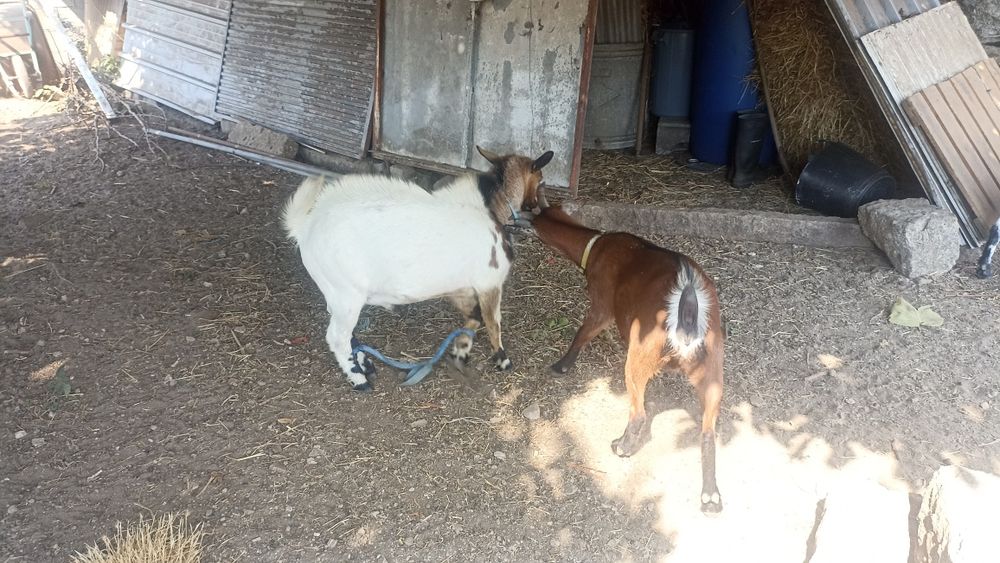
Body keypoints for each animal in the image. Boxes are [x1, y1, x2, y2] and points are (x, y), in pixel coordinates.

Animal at [282, 146, 553, 391]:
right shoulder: (489, 282)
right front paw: (502, 359)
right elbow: (492, 321)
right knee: (336, 336)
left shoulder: (460, 288)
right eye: (541, 179)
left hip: (336, 293)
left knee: (345, 332)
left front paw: (461, 350)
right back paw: (358, 379)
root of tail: (305, 226)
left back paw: (363, 362)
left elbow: (473, 317)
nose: (543, 208)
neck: (489, 209)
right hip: (346, 293)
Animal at [528, 189, 725, 514]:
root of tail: (687, 312)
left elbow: (582, 333)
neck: (595, 246)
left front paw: (561, 365)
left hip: (640, 355)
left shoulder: (602, 304)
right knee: (708, 431)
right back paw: (710, 496)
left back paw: (621, 447)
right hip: (712, 367)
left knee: (640, 413)